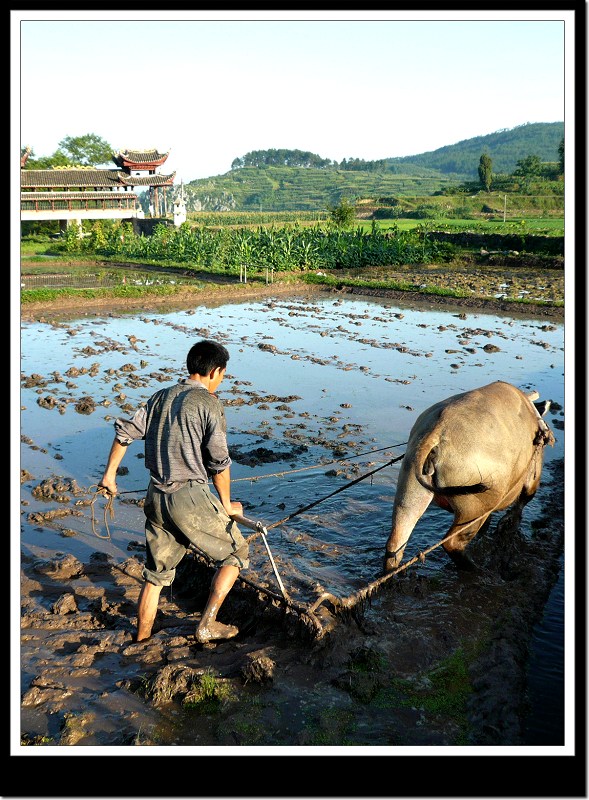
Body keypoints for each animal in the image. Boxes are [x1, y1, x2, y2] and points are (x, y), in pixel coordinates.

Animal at [384, 380, 552, 572]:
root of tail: (436, 432)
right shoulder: (533, 477)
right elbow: (521, 504)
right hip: (475, 506)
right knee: (452, 544)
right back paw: (478, 570)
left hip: (410, 490)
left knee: (396, 544)